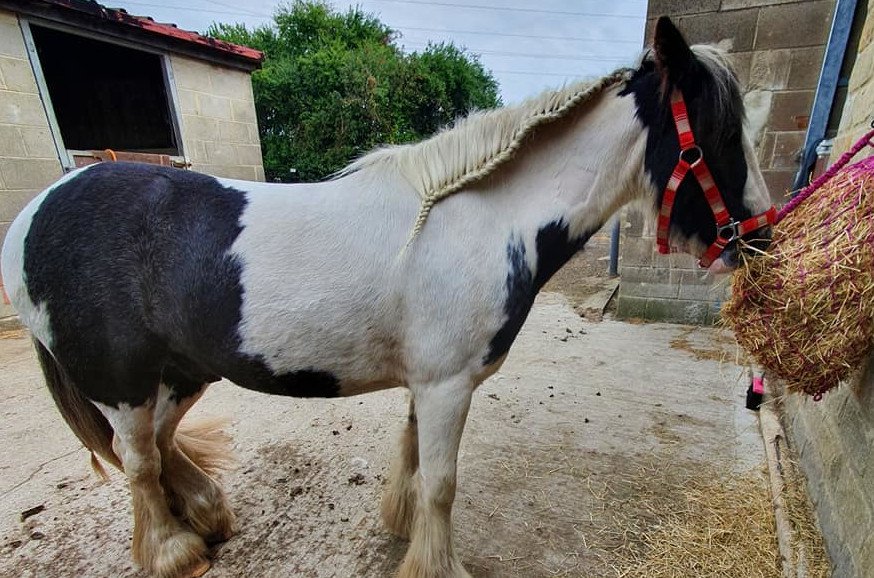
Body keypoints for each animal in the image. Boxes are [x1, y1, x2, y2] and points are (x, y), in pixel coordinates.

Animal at [5, 16, 768, 576]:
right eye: (715, 138)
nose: (756, 237)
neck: (481, 219)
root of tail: (35, 212)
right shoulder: (446, 384)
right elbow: (441, 482)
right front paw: (436, 563)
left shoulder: (427, 383)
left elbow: (412, 460)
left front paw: (402, 530)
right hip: (126, 383)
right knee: (137, 460)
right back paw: (173, 550)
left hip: (180, 372)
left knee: (161, 446)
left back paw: (208, 515)